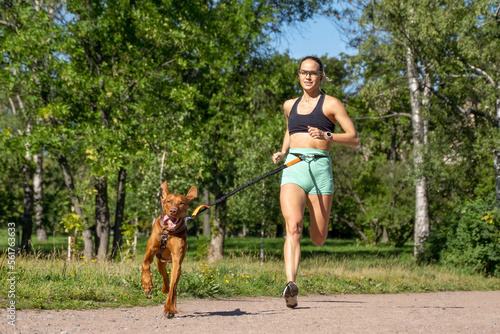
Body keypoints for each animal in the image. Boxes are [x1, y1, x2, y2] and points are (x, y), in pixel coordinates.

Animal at [143, 181, 197, 318]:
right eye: (168, 201)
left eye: (182, 203)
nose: (173, 211)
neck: (168, 232)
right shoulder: (150, 251)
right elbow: (145, 264)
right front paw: (147, 283)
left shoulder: (177, 261)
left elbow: (172, 289)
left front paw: (169, 309)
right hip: (160, 263)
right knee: (165, 278)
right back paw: (164, 288)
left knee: (173, 287)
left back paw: (173, 306)